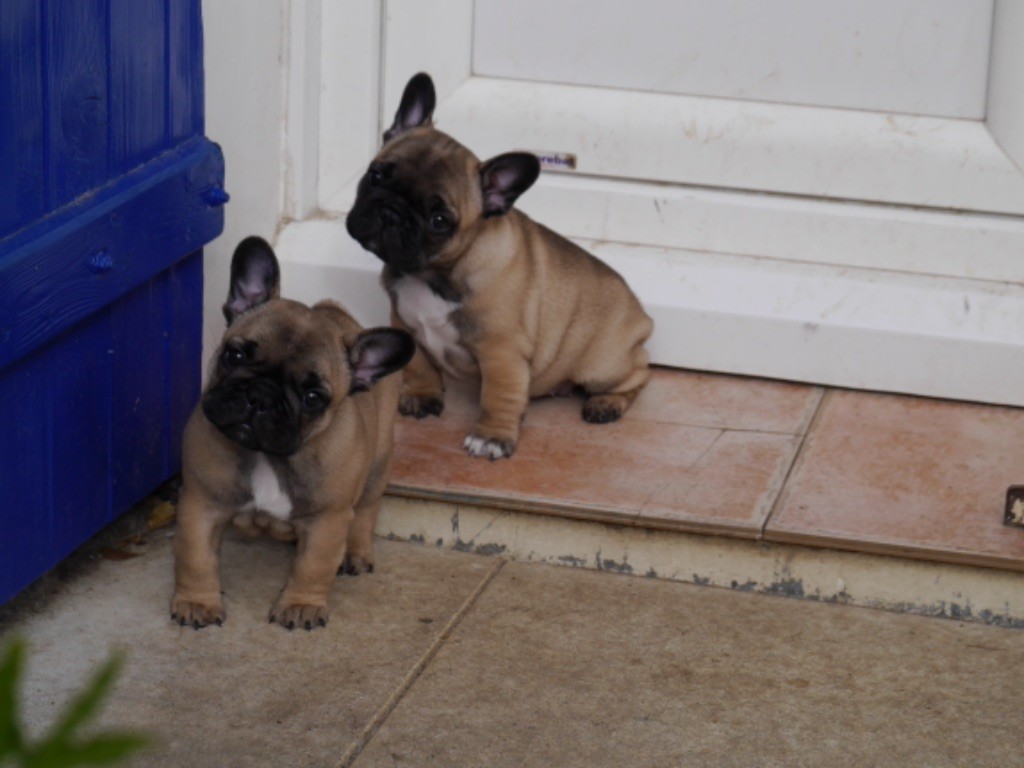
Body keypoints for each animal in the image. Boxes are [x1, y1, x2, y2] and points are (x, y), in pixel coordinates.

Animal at [173, 236, 415, 630]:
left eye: (313, 397)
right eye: (234, 355)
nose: (260, 396)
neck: (267, 456)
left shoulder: (328, 521)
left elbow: (313, 566)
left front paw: (301, 605)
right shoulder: (201, 503)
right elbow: (196, 558)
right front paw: (198, 602)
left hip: (379, 464)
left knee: (366, 510)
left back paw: (356, 553)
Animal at [348, 72, 651, 460]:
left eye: (439, 220)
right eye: (375, 176)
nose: (391, 213)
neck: (434, 275)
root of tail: (641, 314)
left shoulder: (501, 352)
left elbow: (499, 396)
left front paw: (491, 437)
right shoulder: (405, 323)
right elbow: (420, 367)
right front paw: (421, 396)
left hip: (604, 365)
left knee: (638, 373)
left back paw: (607, 403)